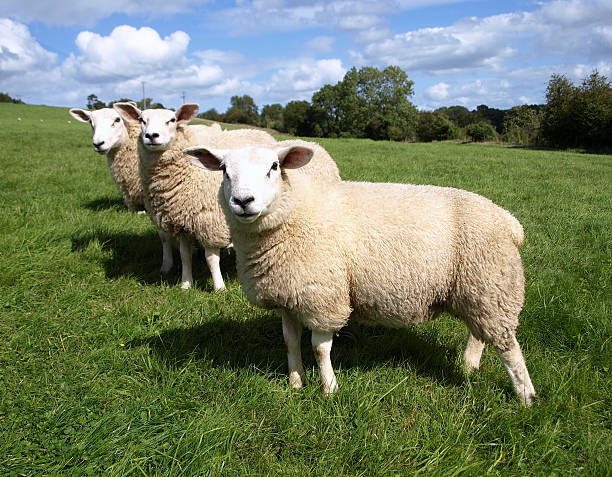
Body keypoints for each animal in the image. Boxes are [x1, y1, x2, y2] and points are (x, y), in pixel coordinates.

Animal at [184, 144, 536, 406]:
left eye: (273, 166)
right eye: (225, 171)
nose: (243, 201)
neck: (294, 213)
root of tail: (509, 220)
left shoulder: (324, 296)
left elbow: (319, 348)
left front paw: (329, 389)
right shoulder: (289, 295)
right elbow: (290, 341)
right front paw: (296, 382)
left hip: (493, 284)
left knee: (508, 347)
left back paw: (525, 396)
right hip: (477, 289)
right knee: (479, 333)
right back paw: (469, 366)